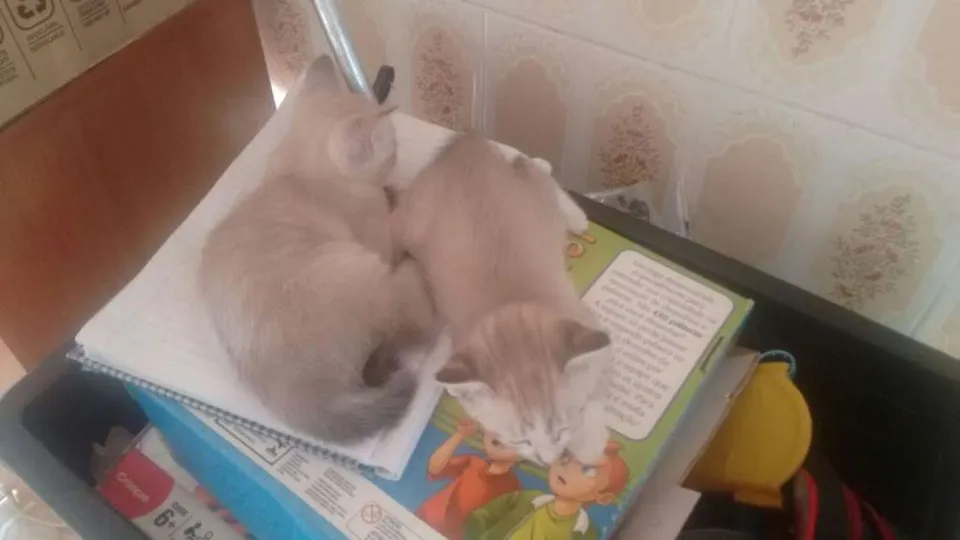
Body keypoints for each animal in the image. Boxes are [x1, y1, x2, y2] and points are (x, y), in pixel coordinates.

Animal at [198, 56, 436, 443]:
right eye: (393, 149)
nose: (395, 162)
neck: (302, 172)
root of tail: (300, 396)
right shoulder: (378, 238)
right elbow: (391, 222)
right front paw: (394, 194)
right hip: (367, 272)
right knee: (417, 319)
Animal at [392, 134, 613, 466]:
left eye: (561, 429)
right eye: (521, 440)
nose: (549, 461)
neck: (507, 304)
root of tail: (461, 150)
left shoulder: (587, 322)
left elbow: (597, 382)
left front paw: (589, 439)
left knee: (538, 175)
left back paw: (572, 212)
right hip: (409, 221)